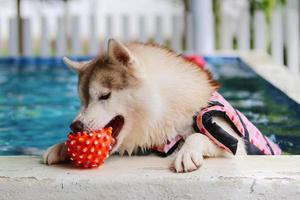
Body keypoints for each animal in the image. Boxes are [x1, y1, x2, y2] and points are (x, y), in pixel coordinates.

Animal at [42, 38, 282, 172]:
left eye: (104, 95)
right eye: (82, 101)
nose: (75, 126)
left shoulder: (233, 146)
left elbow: (199, 136)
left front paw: (187, 152)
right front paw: (61, 146)